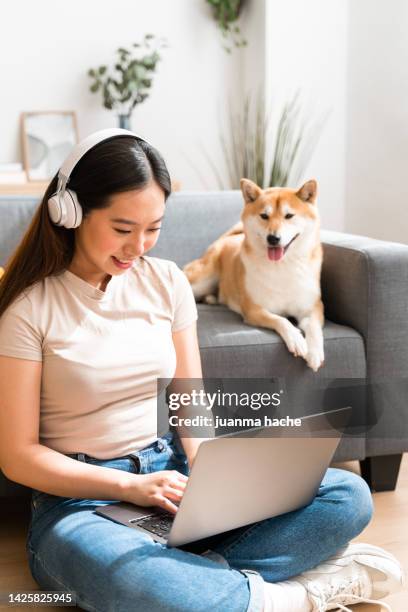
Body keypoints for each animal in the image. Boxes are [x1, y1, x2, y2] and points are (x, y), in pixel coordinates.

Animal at [185, 178, 326, 372]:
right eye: (264, 216)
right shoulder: (253, 309)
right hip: (202, 278)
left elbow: (313, 327)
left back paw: (211, 299)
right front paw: (296, 338)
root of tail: (224, 239)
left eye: (289, 216)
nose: (273, 238)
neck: (282, 267)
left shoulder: (313, 307)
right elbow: (280, 319)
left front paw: (315, 352)